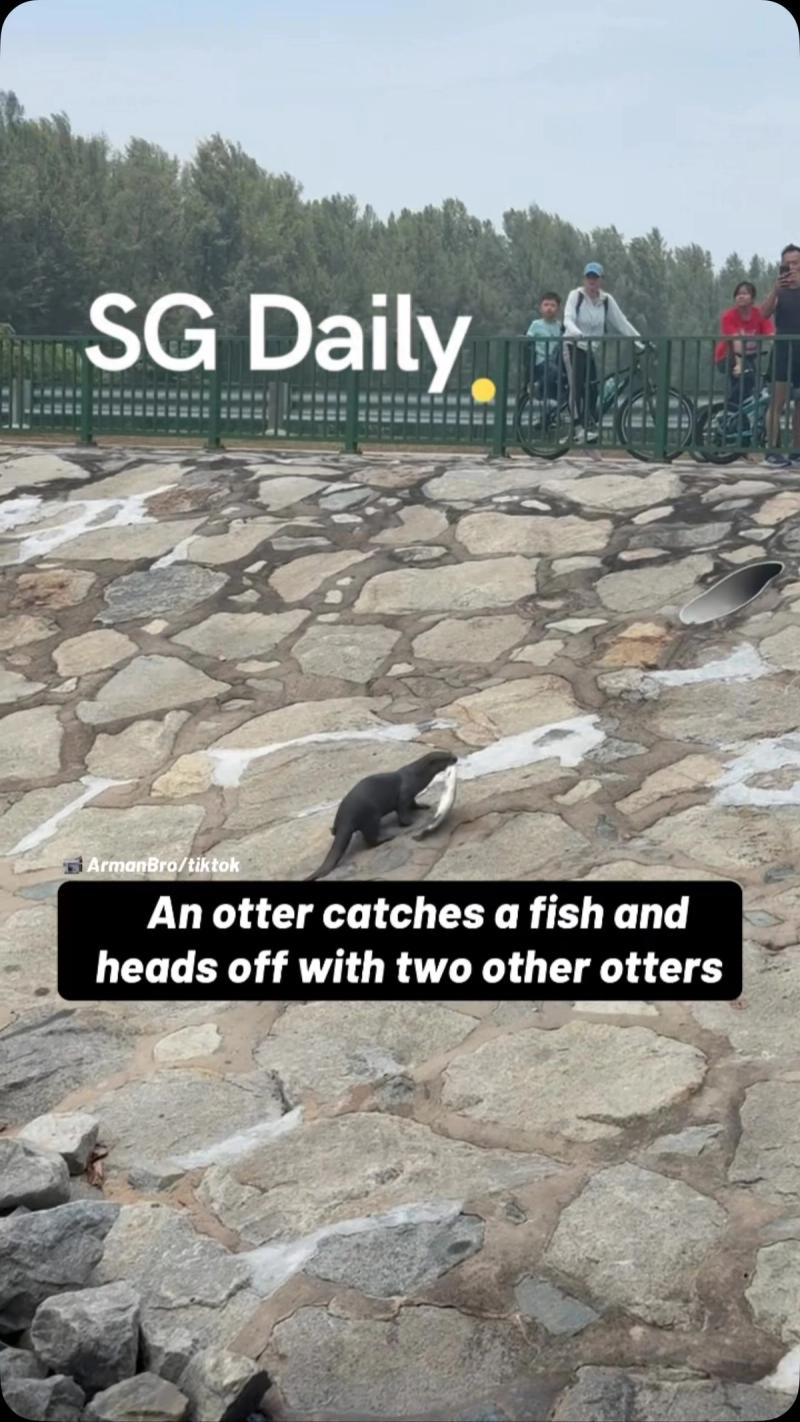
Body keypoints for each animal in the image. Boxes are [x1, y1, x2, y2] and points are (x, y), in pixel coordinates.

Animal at [305, 750, 457, 881]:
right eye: (447, 758)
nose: (455, 758)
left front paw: (424, 806)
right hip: (371, 817)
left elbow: (414, 803)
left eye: (449, 752)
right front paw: (409, 822)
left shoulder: (411, 796)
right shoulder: (404, 794)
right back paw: (387, 837)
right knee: (371, 839)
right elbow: (402, 812)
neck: (415, 775)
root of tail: (345, 820)